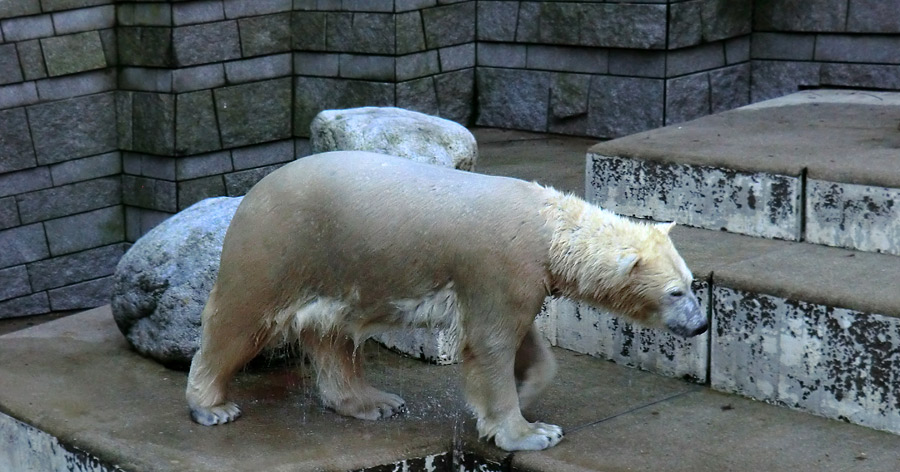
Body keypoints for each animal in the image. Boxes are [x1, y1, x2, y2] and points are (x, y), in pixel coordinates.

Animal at [183, 151, 708, 450]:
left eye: (693, 283)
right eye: (675, 291)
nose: (701, 324)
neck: (549, 228)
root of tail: (253, 191)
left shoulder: (523, 280)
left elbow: (523, 339)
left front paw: (528, 390)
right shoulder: (501, 263)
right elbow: (489, 344)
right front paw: (530, 433)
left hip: (335, 265)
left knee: (332, 331)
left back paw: (374, 402)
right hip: (281, 245)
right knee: (241, 317)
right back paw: (212, 406)